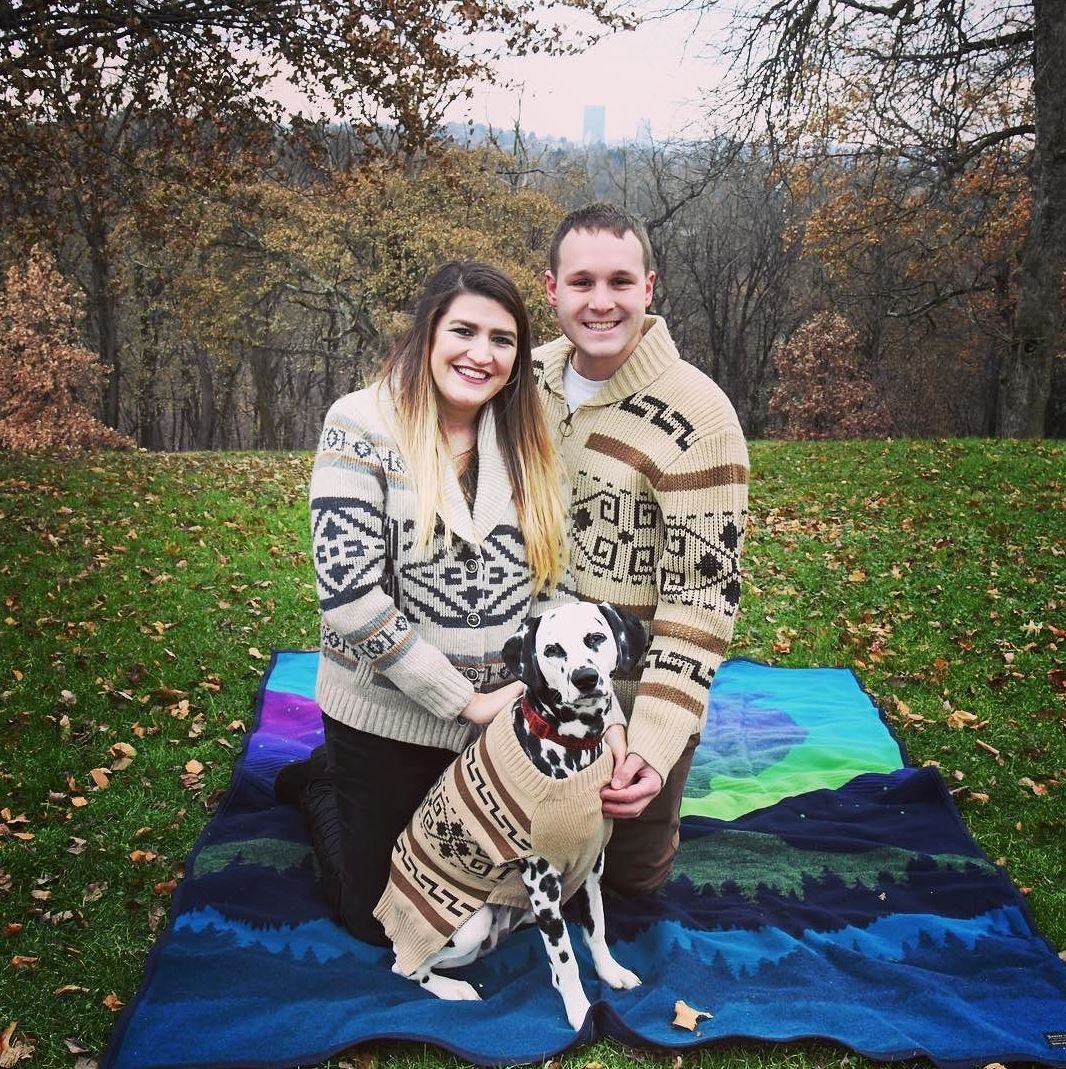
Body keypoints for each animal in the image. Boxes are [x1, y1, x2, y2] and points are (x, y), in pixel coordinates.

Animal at [387, 602, 645, 1026]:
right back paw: (452, 989)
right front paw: (580, 1012)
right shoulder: (543, 885)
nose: (586, 678)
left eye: (595, 638)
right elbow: (566, 959)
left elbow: (596, 929)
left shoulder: (592, 868)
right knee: (403, 966)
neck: (568, 747)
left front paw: (610, 971)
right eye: (553, 649)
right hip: (471, 927)